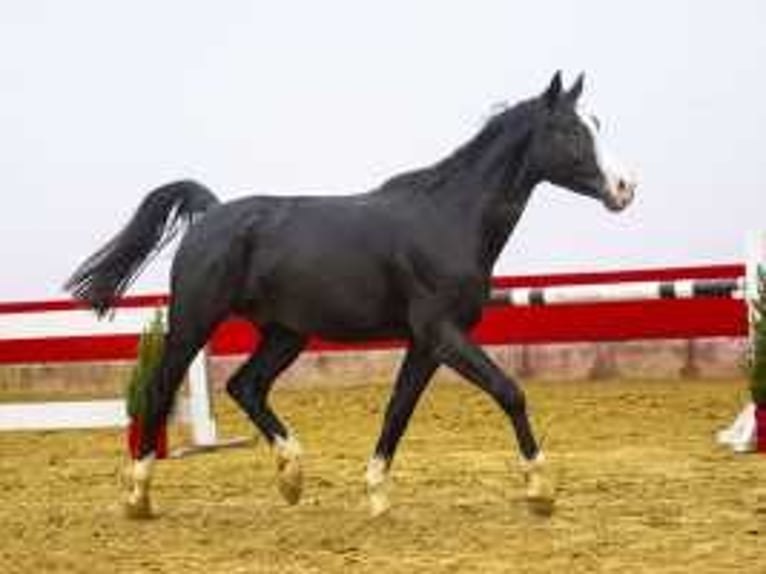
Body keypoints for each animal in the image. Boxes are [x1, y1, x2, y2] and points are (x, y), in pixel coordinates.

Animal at [67, 72, 636, 516]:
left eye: (598, 124)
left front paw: (377, 493)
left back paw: (291, 476)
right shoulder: (442, 332)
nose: (625, 188)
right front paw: (541, 489)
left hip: (286, 333)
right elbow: (508, 390)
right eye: (568, 130)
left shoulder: (425, 343)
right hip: (194, 322)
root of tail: (212, 213)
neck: (449, 218)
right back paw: (139, 495)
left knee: (246, 386)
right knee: (160, 390)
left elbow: (398, 409)